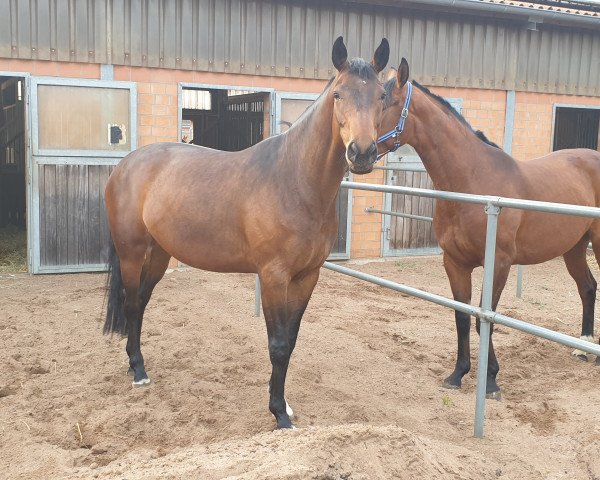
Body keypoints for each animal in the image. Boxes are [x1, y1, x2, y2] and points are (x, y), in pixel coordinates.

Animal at [105, 36, 392, 428]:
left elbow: (291, 340)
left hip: (160, 253)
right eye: (338, 94)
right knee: (132, 303)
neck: (294, 181)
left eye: (381, 95)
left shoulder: (308, 276)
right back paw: (137, 370)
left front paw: (284, 404)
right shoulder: (273, 275)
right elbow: (278, 345)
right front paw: (279, 414)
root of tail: (125, 166)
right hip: (132, 252)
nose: (361, 153)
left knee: (142, 303)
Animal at [378, 58, 600, 400]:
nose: (353, 152)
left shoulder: (499, 264)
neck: (473, 181)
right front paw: (457, 374)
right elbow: (461, 316)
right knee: (587, 287)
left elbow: (486, 319)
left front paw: (491, 380)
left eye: (383, 102)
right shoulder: (455, 263)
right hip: (574, 247)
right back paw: (583, 348)